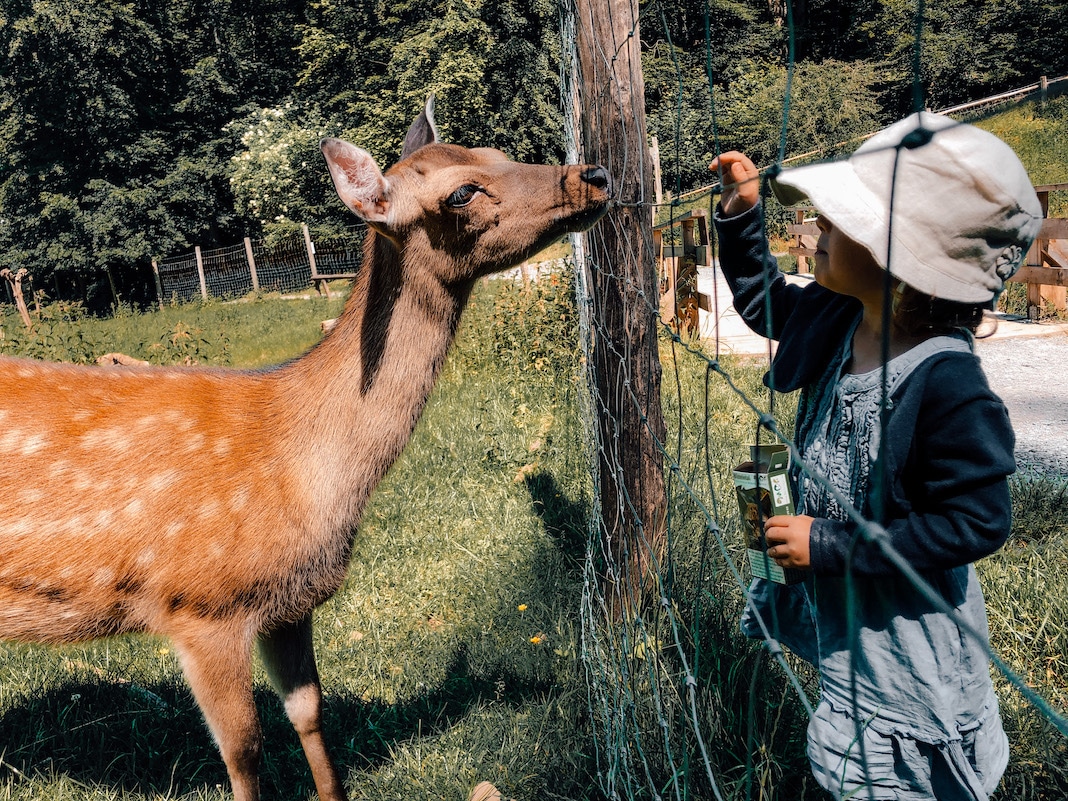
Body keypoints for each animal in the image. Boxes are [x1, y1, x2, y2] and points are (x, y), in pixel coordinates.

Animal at [0, 100, 610, 801]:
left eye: (495, 151)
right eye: (460, 191)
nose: (595, 174)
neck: (305, 470)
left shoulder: (287, 607)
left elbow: (309, 714)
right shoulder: (200, 608)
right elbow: (244, 752)